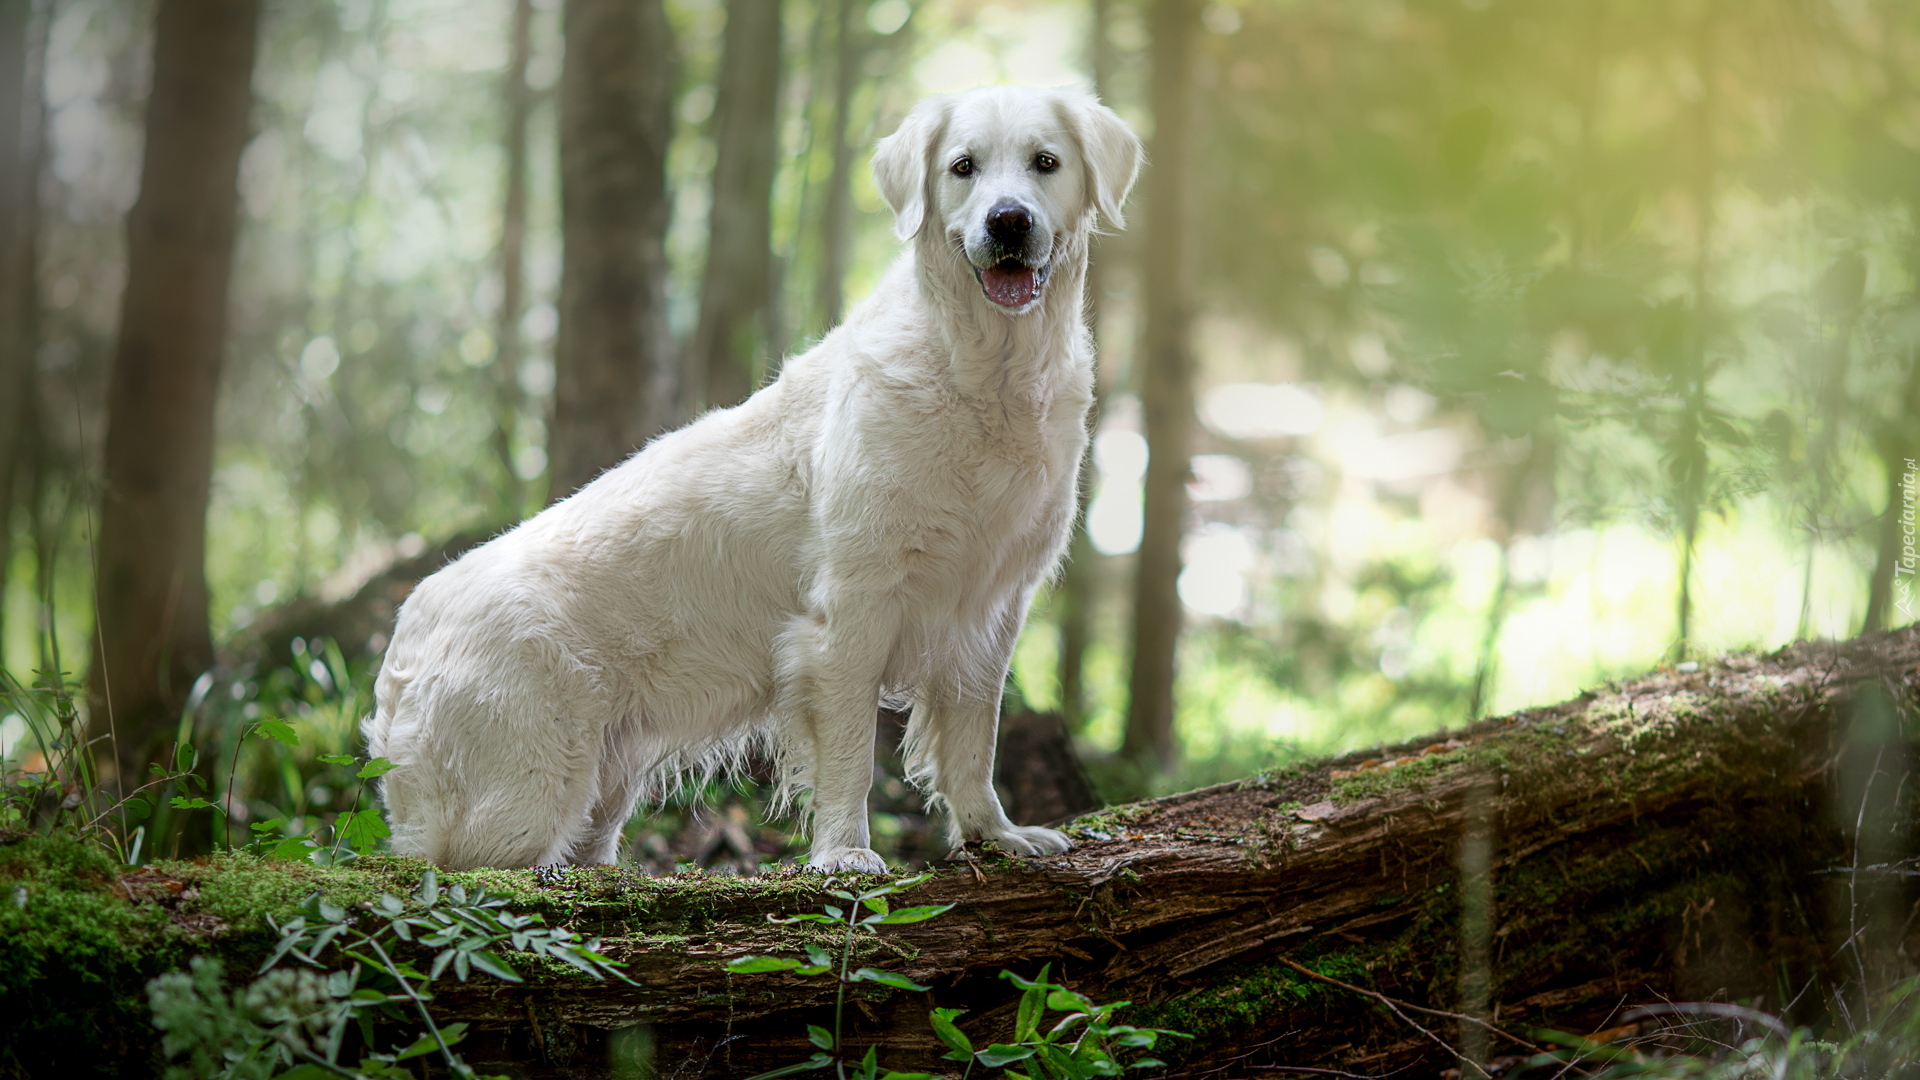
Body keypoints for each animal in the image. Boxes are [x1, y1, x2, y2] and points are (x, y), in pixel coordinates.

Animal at [360, 88, 1136, 868]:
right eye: (963, 167)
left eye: (1045, 162)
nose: (1008, 221)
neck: (986, 375)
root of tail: (402, 639)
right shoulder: (850, 611)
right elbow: (852, 753)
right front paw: (844, 854)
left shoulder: (992, 609)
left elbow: (977, 742)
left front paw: (995, 834)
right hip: (526, 796)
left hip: (604, 783)